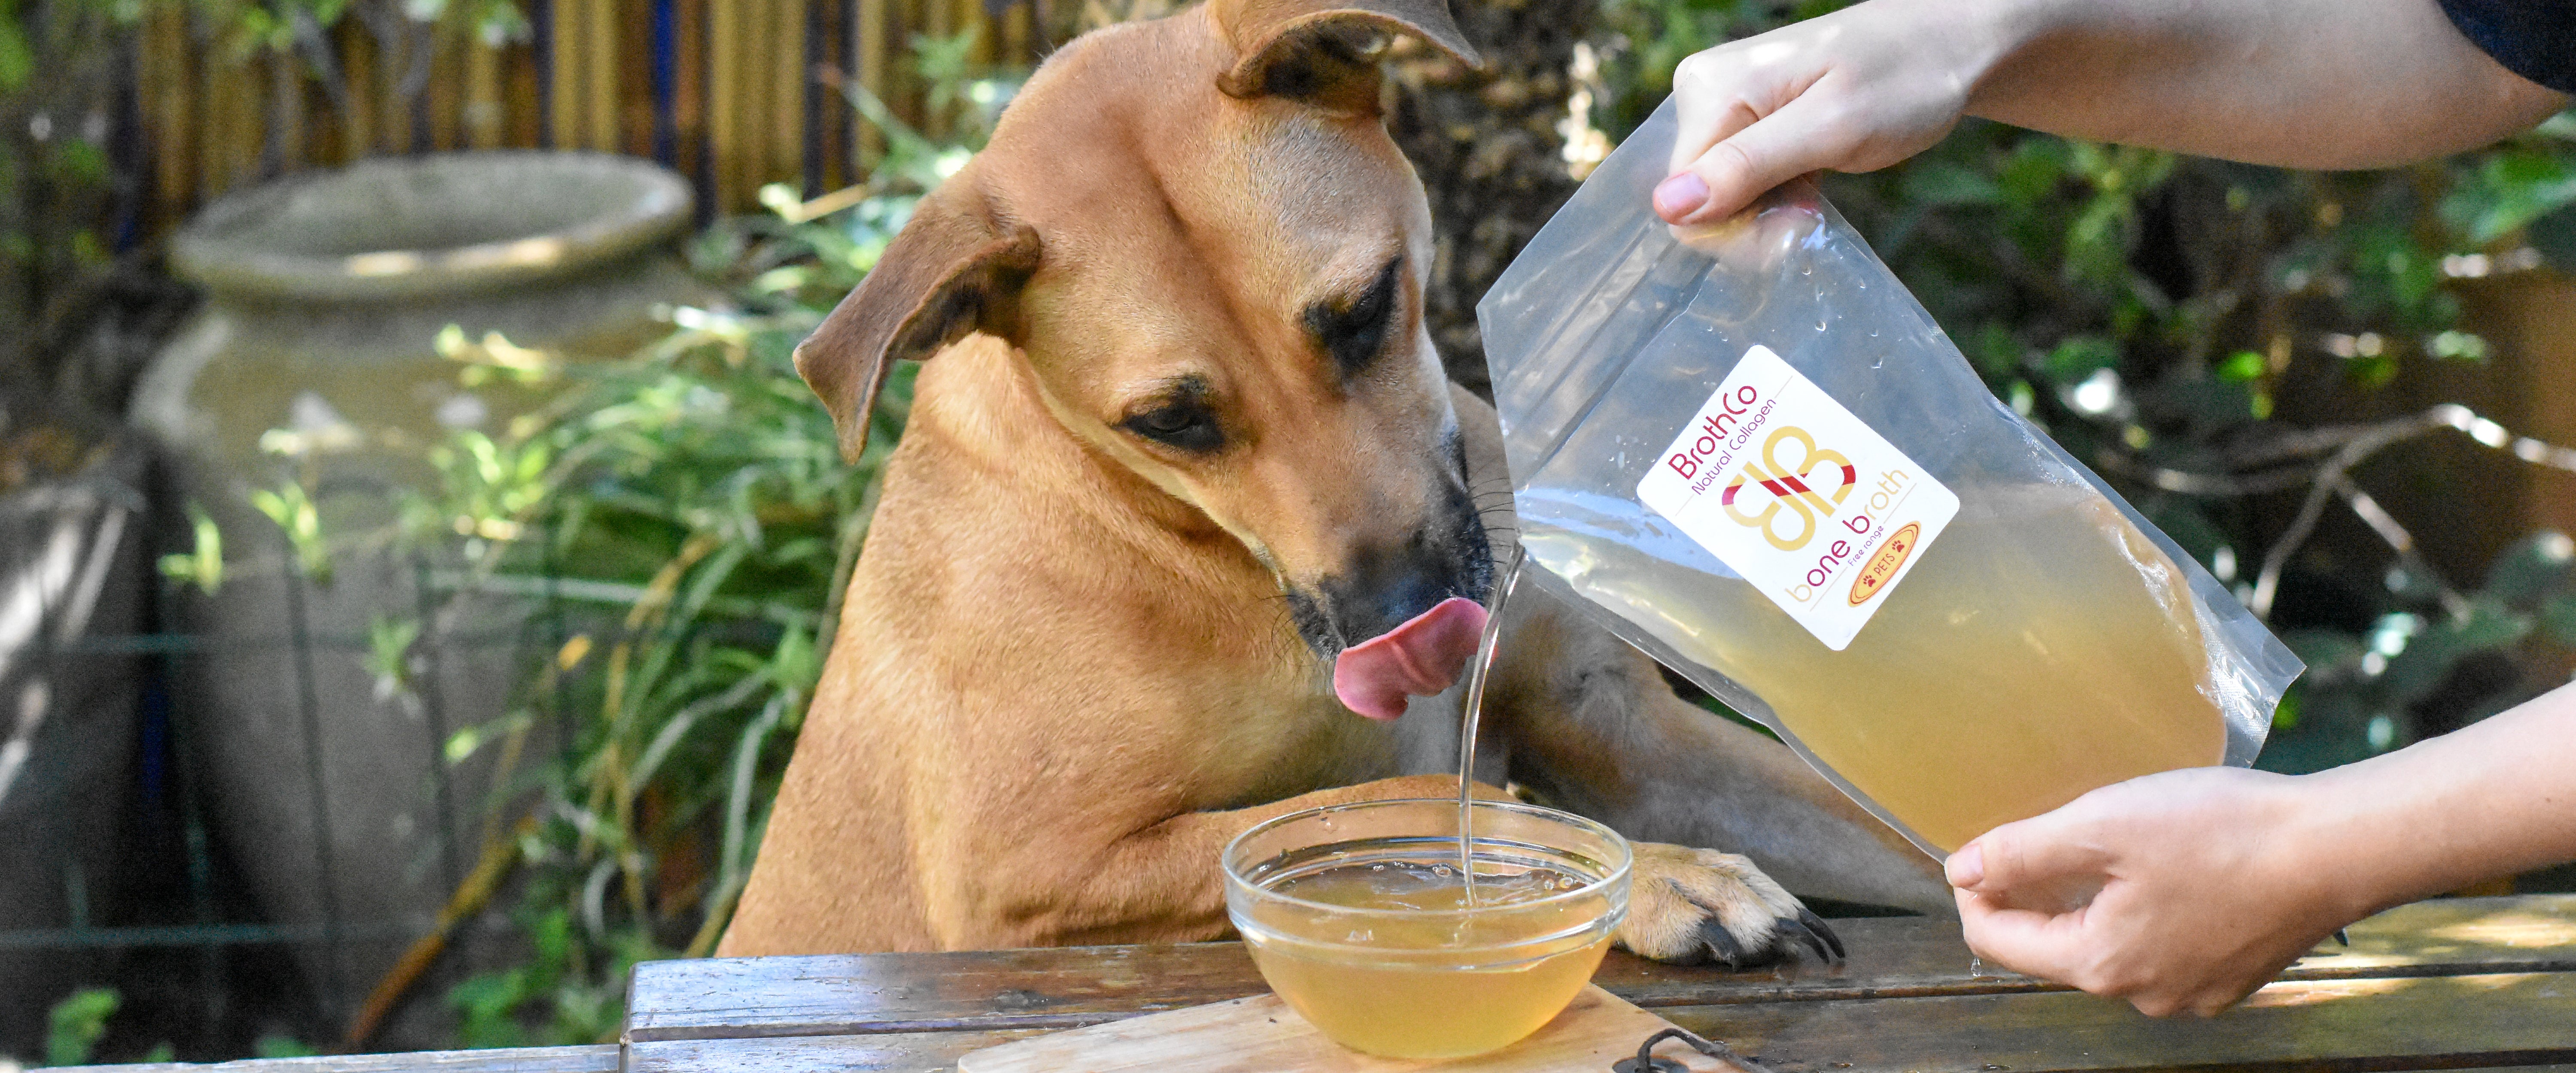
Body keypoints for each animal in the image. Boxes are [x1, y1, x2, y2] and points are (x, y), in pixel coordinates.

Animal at [716, 0, 1937, 962]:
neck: (1173, 541)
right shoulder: (1023, 874)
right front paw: (1670, 877)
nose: (1409, 620)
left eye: (1363, 308)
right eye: (1168, 420)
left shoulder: (1634, 741)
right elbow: (1392, 803)